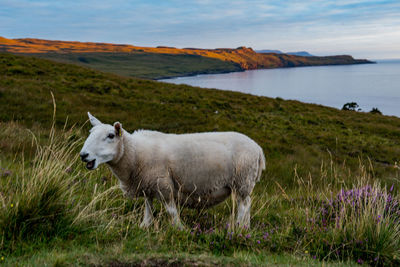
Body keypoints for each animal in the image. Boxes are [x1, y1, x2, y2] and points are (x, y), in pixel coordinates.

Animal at [79, 112, 264, 229]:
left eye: (111, 136)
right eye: (90, 133)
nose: (83, 155)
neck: (135, 154)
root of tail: (258, 149)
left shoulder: (163, 184)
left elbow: (171, 211)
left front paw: (179, 229)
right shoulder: (148, 185)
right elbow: (148, 208)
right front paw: (144, 226)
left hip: (242, 180)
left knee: (243, 206)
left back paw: (237, 228)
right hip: (244, 183)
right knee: (247, 204)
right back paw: (245, 228)